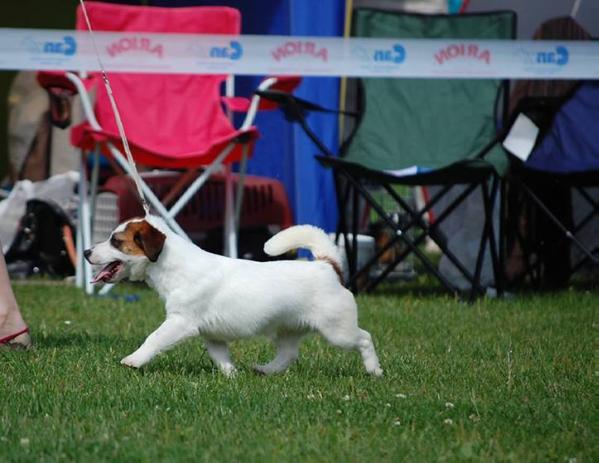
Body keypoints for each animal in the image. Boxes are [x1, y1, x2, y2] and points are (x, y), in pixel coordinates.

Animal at [83, 217, 384, 376]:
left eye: (115, 241)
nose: (86, 252)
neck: (175, 266)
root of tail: (327, 265)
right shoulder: (211, 335)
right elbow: (220, 357)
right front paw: (232, 376)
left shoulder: (180, 322)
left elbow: (153, 339)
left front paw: (134, 359)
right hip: (287, 329)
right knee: (288, 353)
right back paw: (265, 369)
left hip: (337, 330)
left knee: (364, 338)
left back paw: (374, 370)